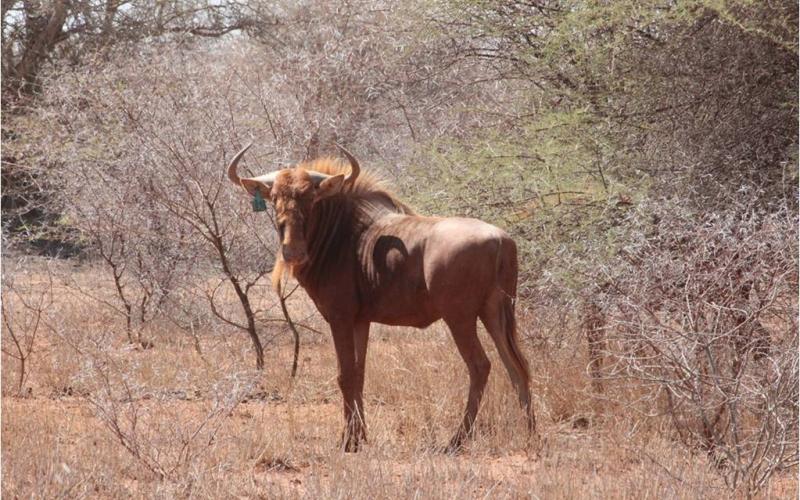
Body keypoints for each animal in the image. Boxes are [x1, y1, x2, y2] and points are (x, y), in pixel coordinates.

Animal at [227, 143, 535, 452]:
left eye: (310, 197)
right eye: (275, 198)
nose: (293, 252)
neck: (343, 233)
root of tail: (500, 239)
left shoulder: (339, 318)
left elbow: (345, 375)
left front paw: (348, 441)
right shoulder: (360, 322)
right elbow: (359, 374)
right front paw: (360, 436)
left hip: (460, 318)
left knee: (481, 366)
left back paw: (456, 440)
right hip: (496, 314)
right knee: (517, 365)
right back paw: (530, 433)